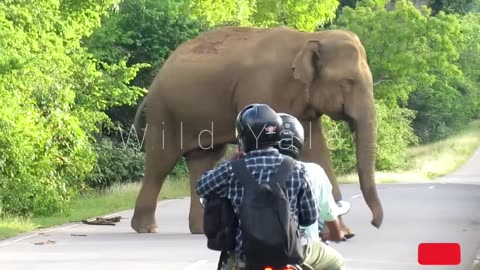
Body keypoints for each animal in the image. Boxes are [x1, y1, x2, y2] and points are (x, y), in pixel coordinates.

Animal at [130, 25, 382, 236]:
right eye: (348, 81)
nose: (375, 223)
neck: (308, 38)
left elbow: (316, 150)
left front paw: (343, 233)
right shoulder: (262, 87)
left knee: (203, 160)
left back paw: (201, 230)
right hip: (165, 112)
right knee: (161, 162)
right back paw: (147, 229)